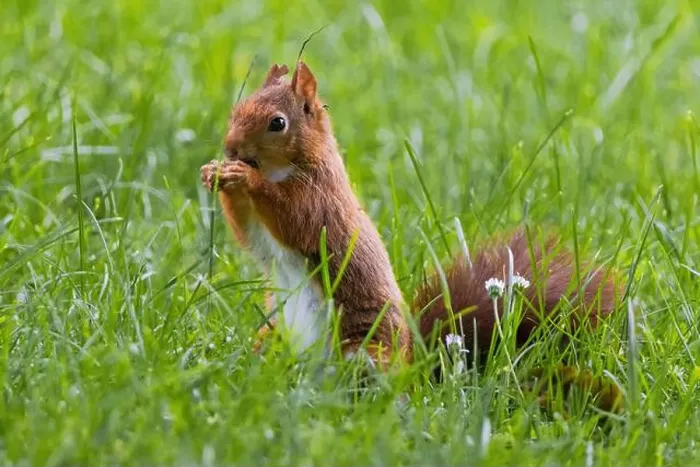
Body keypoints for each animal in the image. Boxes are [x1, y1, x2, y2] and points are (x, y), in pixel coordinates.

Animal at [200, 61, 621, 409]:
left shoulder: (318, 202)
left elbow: (289, 215)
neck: (283, 168)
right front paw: (216, 175)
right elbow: (249, 235)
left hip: (363, 349)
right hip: (272, 335)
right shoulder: (262, 233)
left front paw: (244, 177)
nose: (231, 148)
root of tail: (413, 367)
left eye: (277, 123)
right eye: (238, 109)